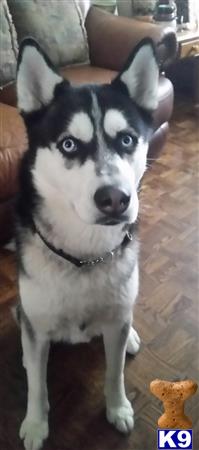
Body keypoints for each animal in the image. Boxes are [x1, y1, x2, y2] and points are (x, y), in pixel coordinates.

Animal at [15, 38, 159, 450]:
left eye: (126, 139)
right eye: (68, 144)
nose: (114, 199)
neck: (85, 255)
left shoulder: (115, 319)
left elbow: (114, 373)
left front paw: (119, 408)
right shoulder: (37, 326)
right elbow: (37, 385)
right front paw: (35, 424)